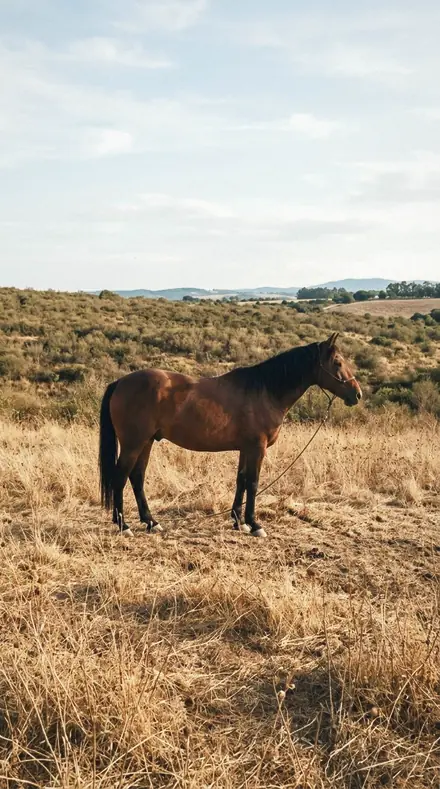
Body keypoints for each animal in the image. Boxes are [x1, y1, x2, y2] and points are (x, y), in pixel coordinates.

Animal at [99, 332, 362, 538]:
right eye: (337, 362)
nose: (357, 394)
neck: (265, 391)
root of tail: (120, 382)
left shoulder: (246, 448)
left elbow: (241, 480)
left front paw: (238, 521)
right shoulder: (257, 448)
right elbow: (253, 483)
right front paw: (255, 525)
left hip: (146, 442)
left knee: (137, 477)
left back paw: (151, 522)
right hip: (133, 444)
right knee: (120, 478)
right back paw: (124, 525)